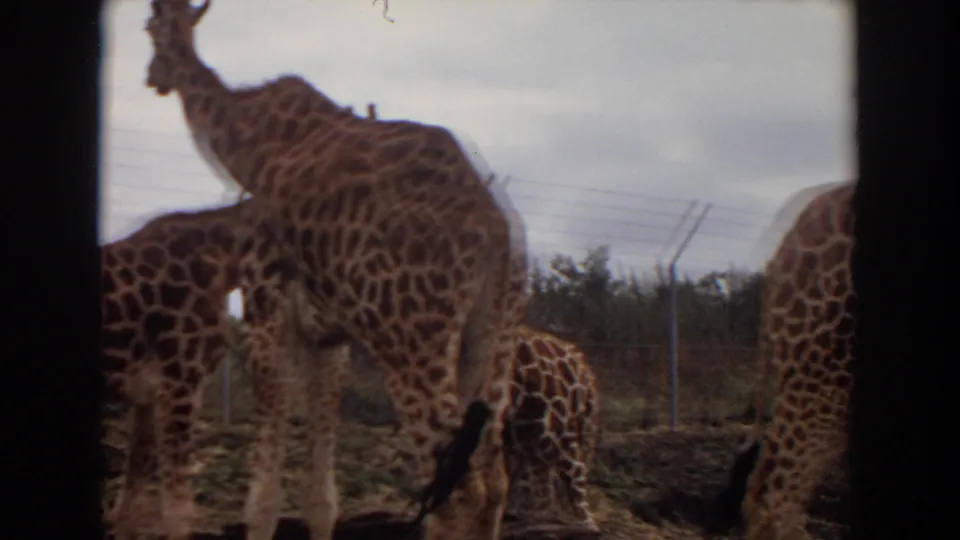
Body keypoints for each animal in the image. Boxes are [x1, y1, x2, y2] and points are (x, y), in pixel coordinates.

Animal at [143, 3, 530, 540]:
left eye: (149, 30)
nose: (153, 77)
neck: (248, 144)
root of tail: (497, 233)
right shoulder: (331, 335)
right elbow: (321, 499)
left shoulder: (267, 312)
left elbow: (262, 499)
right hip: (495, 338)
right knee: (494, 482)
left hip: (411, 342)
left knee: (459, 491)